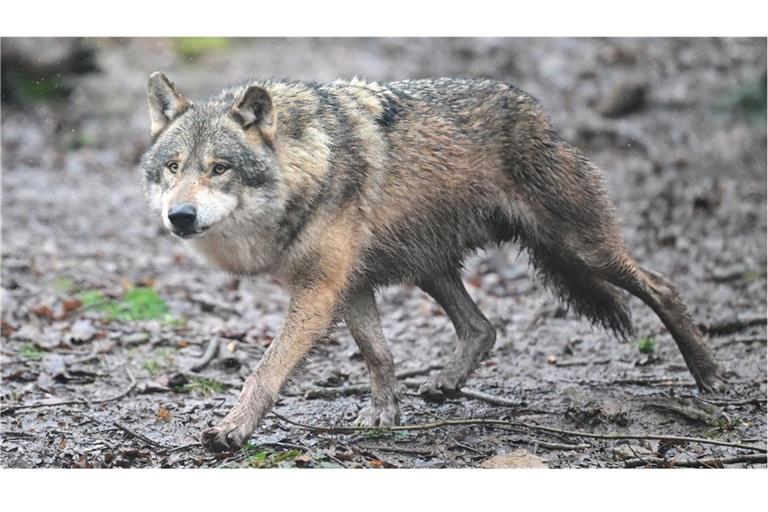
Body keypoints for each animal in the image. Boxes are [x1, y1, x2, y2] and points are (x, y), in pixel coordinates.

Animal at [139, 72, 724, 452]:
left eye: (219, 168)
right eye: (173, 167)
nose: (180, 216)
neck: (306, 166)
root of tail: (538, 113)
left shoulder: (320, 291)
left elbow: (265, 370)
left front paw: (232, 430)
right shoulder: (349, 285)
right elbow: (378, 355)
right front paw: (384, 415)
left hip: (581, 249)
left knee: (662, 285)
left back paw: (709, 376)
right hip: (429, 266)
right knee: (483, 327)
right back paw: (445, 383)